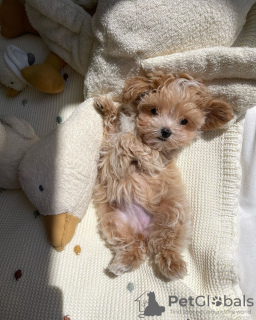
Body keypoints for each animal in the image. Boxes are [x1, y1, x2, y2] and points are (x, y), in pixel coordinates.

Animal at [92, 72, 234, 280]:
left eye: (184, 121)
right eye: (154, 110)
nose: (166, 132)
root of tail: (144, 232)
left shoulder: (156, 159)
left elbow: (127, 140)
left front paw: (120, 159)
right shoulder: (109, 139)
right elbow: (114, 132)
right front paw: (106, 106)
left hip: (173, 213)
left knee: (164, 243)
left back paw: (172, 265)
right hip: (116, 221)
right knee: (134, 246)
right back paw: (123, 262)